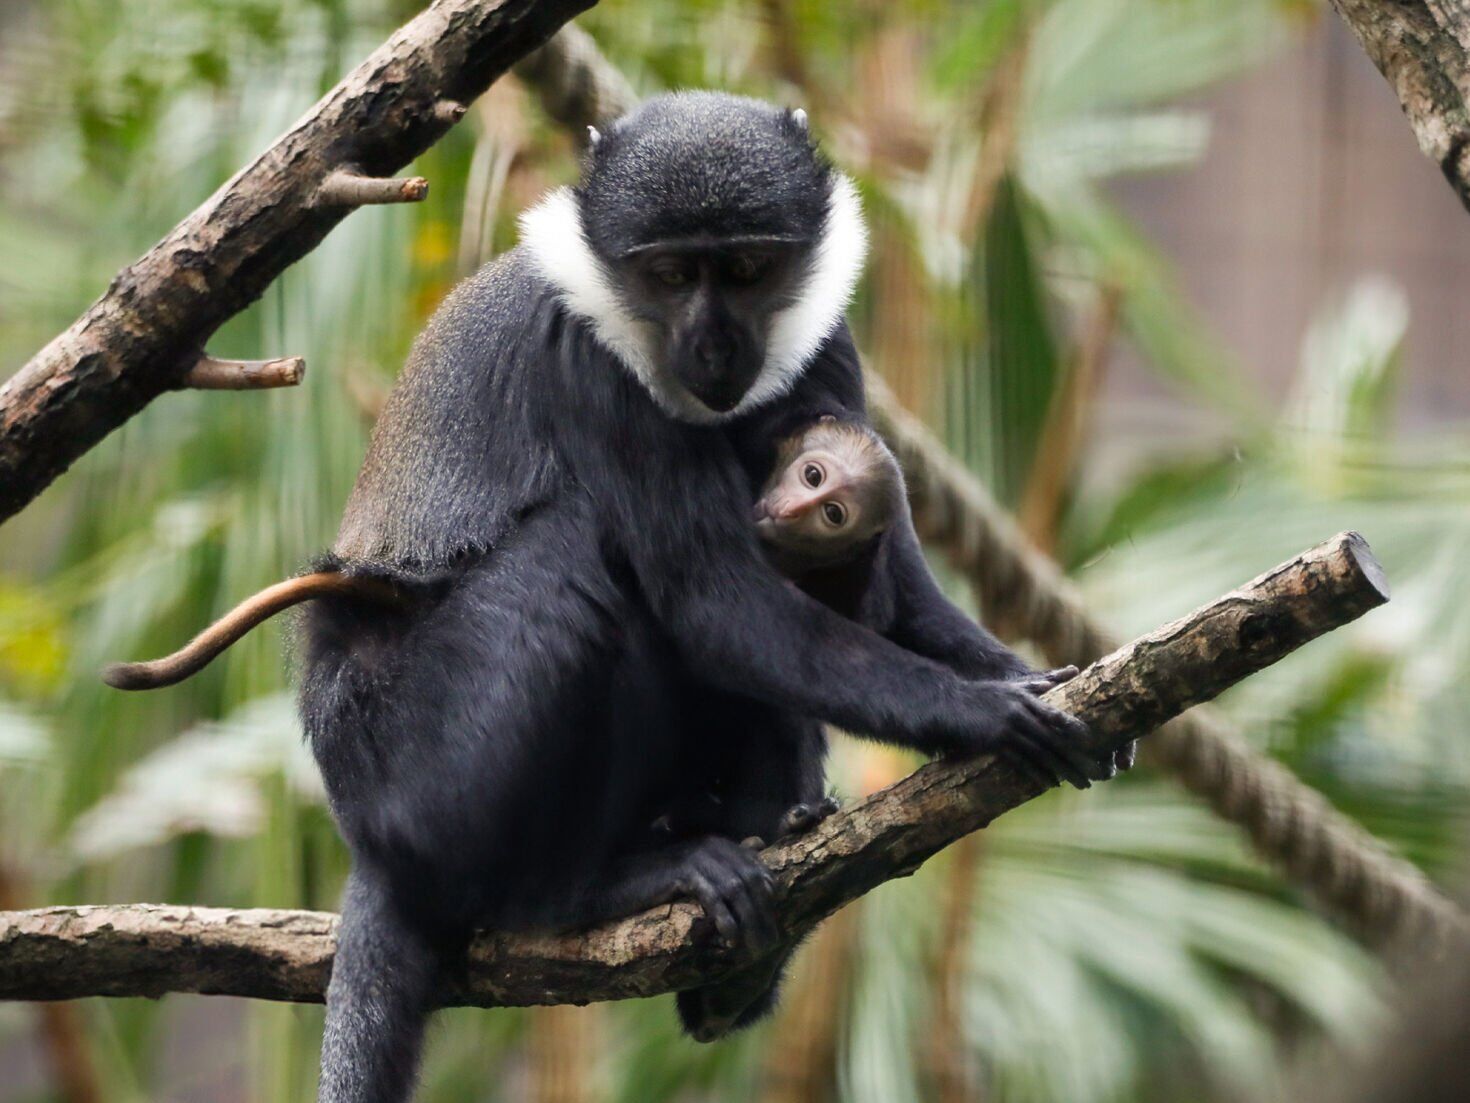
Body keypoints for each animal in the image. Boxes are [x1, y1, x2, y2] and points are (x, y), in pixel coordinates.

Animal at [118, 93, 1121, 1102]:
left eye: (747, 268)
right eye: (671, 274)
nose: (713, 344)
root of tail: (372, 846)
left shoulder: (827, 351)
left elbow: (897, 591)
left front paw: (1026, 675)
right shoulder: (591, 367)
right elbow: (716, 603)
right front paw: (981, 711)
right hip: (411, 772)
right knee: (568, 563)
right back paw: (581, 892)